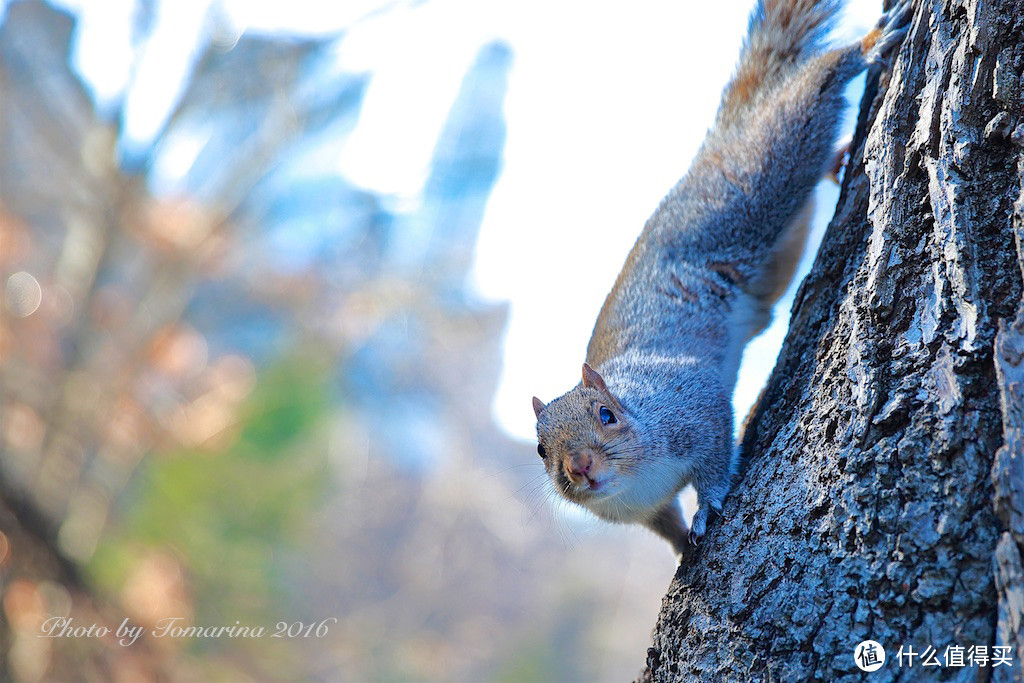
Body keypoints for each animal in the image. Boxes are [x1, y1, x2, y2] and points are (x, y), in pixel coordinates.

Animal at [532, 0, 909, 557]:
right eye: (540, 449)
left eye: (606, 415)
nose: (579, 467)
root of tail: (710, 150)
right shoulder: (643, 511)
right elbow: (665, 525)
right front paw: (679, 550)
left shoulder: (692, 403)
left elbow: (712, 459)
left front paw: (707, 507)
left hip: (749, 188)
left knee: (797, 110)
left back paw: (864, 49)